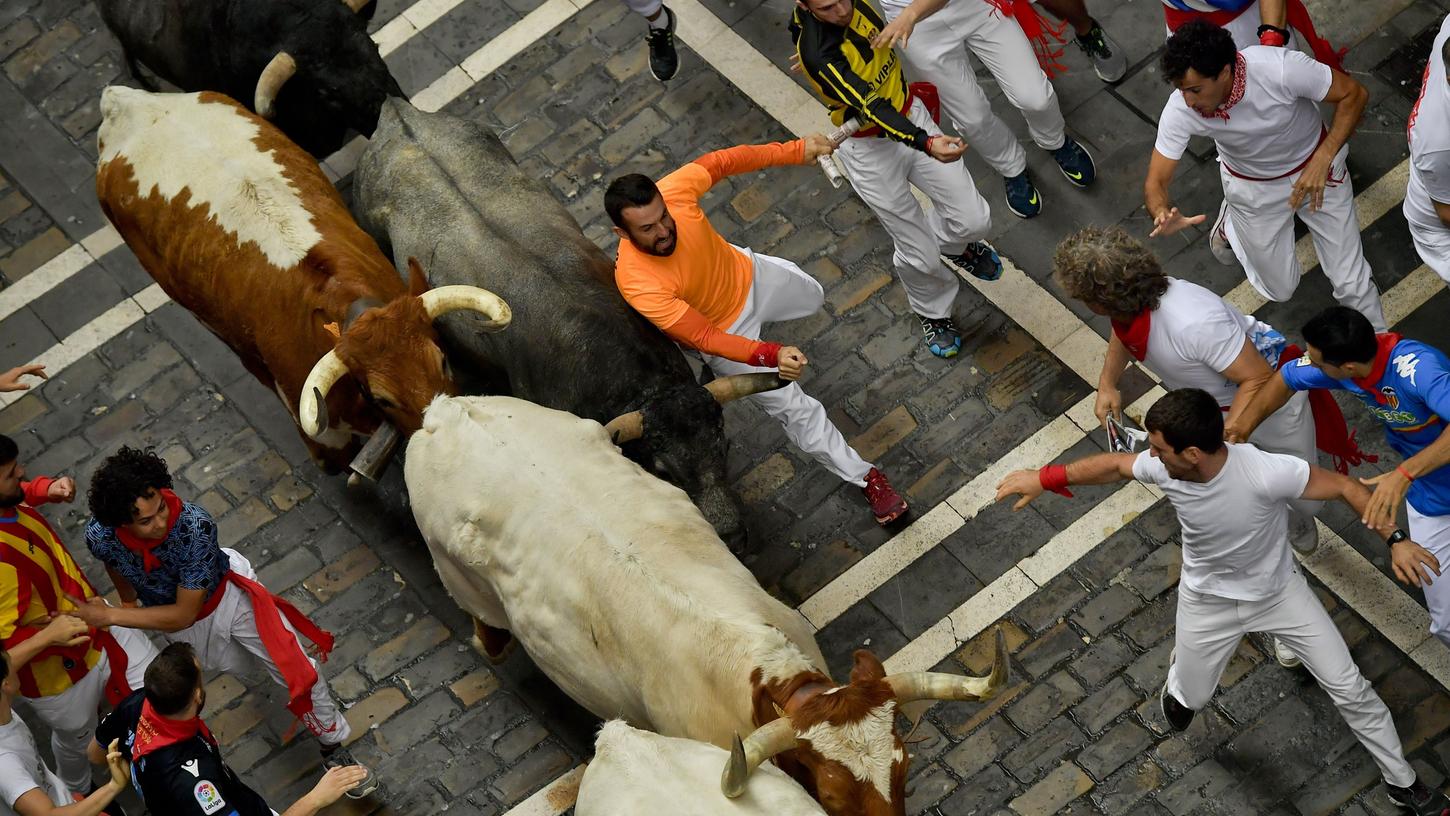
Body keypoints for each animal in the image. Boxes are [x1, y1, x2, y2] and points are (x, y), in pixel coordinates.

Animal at [403, 391, 1003, 811]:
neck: (746, 666)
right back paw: (490, 642)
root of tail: (446, 411)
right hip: (458, 577)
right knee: (483, 621)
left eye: (902, 768)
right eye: (832, 796)